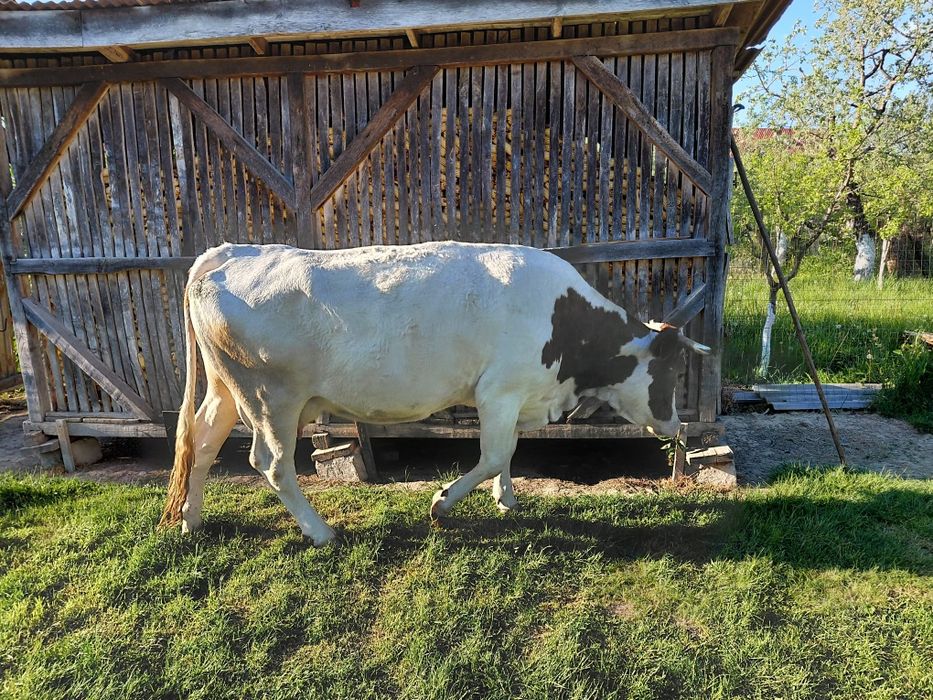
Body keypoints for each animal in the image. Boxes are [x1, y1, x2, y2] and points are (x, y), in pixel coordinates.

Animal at [159, 241, 711, 545]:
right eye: (671, 369)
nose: (675, 423)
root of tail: (227, 252)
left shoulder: (514, 396)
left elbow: (510, 452)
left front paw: (506, 499)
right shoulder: (499, 391)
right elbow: (495, 454)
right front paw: (443, 503)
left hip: (226, 390)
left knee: (202, 443)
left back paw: (191, 521)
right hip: (270, 396)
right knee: (272, 464)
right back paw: (320, 532)